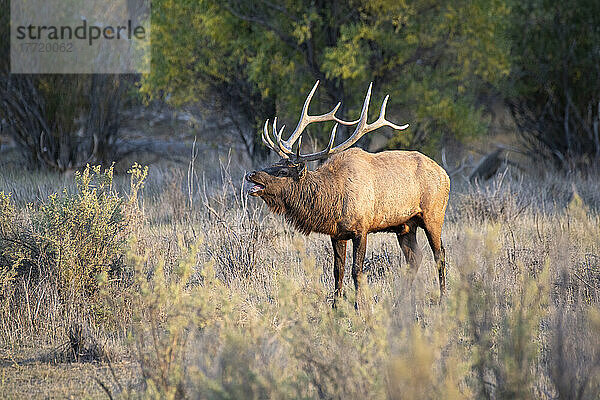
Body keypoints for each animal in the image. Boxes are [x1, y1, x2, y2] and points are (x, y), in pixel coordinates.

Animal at [245, 82, 450, 306]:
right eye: (274, 164)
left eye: (283, 171)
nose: (251, 174)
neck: (332, 200)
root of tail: (445, 174)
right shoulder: (337, 234)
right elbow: (338, 271)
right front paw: (336, 306)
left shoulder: (362, 228)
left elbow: (356, 271)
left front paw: (358, 306)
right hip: (405, 225)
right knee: (414, 258)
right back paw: (400, 301)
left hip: (434, 215)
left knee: (440, 255)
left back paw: (442, 299)